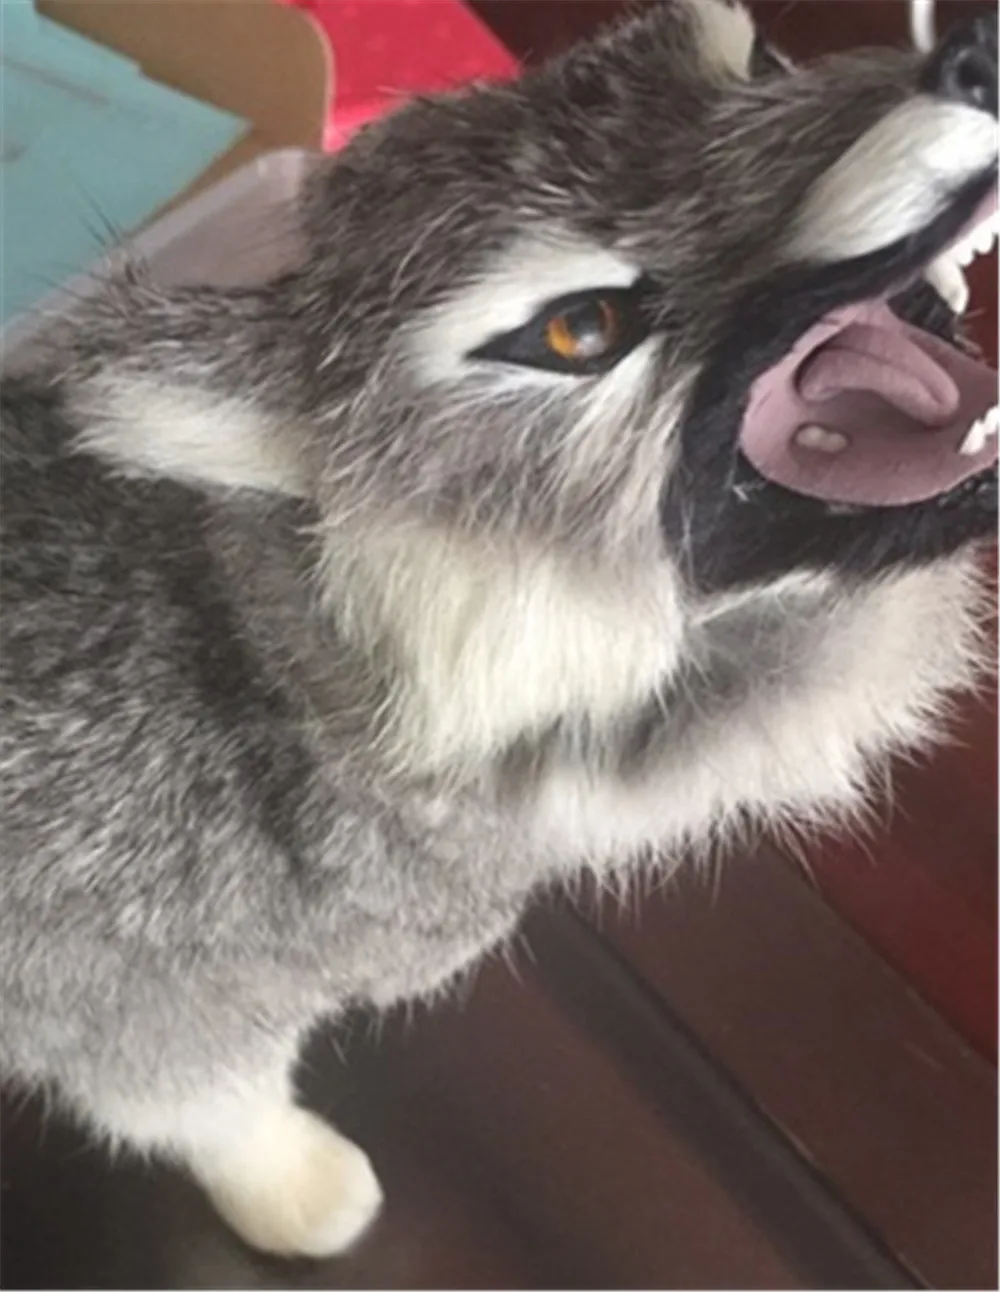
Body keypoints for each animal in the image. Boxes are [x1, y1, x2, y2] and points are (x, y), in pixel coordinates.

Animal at [1, 0, 996, 1259]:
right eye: (581, 328)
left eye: (755, 65)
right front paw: (282, 1170)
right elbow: (194, 1089)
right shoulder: (119, 985)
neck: (288, 661)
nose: (973, 54)